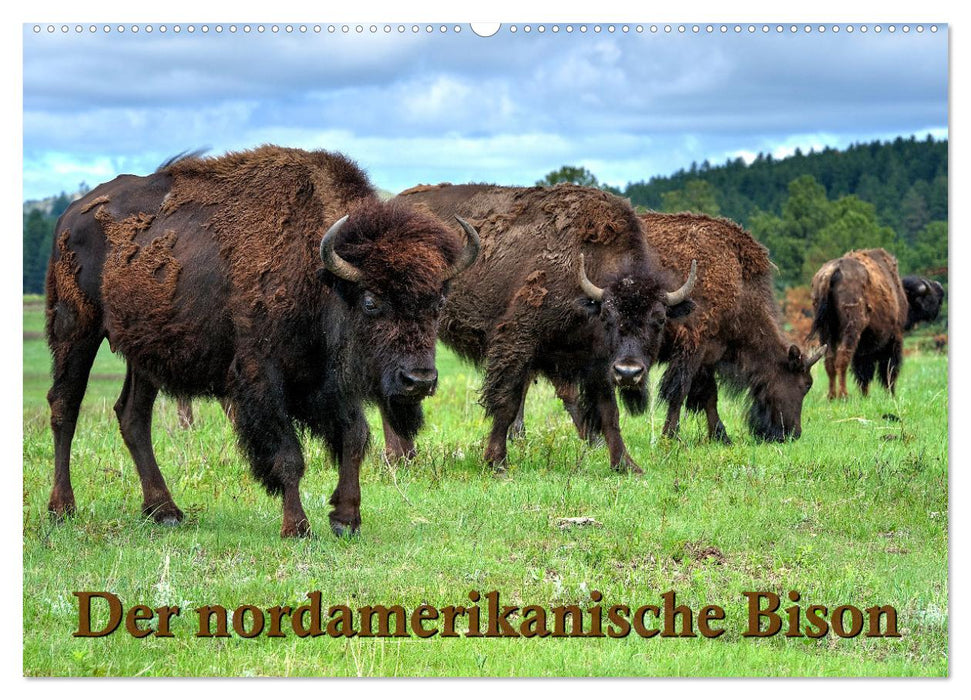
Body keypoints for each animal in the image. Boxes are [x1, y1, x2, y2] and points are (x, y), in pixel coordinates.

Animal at [45, 146, 478, 537]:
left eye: (438, 302)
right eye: (371, 301)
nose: (418, 380)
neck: (319, 275)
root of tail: (71, 215)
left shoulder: (329, 380)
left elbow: (354, 437)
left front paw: (346, 519)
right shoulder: (262, 376)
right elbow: (288, 456)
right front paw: (297, 527)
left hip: (144, 350)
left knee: (133, 415)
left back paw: (164, 511)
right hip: (75, 328)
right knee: (65, 406)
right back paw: (62, 510)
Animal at [381, 183, 697, 473]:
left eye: (659, 319)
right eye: (608, 316)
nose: (629, 372)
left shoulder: (599, 362)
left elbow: (609, 412)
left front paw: (626, 465)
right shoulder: (518, 340)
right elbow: (507, 402)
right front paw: (496, 461)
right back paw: (399, 457)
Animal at [810, 248, 943, 399]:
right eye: (929, 296)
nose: (941, 289)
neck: (902, 293)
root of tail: (833, 271)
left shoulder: (864, 348)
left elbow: (863, 373)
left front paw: (865, 396)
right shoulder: (894, 338)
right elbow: (888, 370)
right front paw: (891, 395)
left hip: (825, 331)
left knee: (829, 361)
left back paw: (832, 396)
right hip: (851, 328)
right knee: (842, 359)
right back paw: (844, 395)